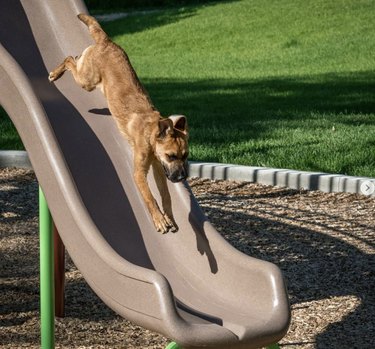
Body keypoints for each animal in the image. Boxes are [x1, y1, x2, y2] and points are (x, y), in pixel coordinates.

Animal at [48, 13, 189, 232]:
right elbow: (150, 198)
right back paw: (56, 73)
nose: (182, 178)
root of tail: (106, 42)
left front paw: (170, 218)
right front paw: (159, 220)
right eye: (171, 155)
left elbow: (166, 196)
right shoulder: (139, 173)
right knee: (70, 58)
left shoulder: (159, 170)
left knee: (76, 57)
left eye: (185, 155)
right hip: (87, 81)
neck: (150, 133)